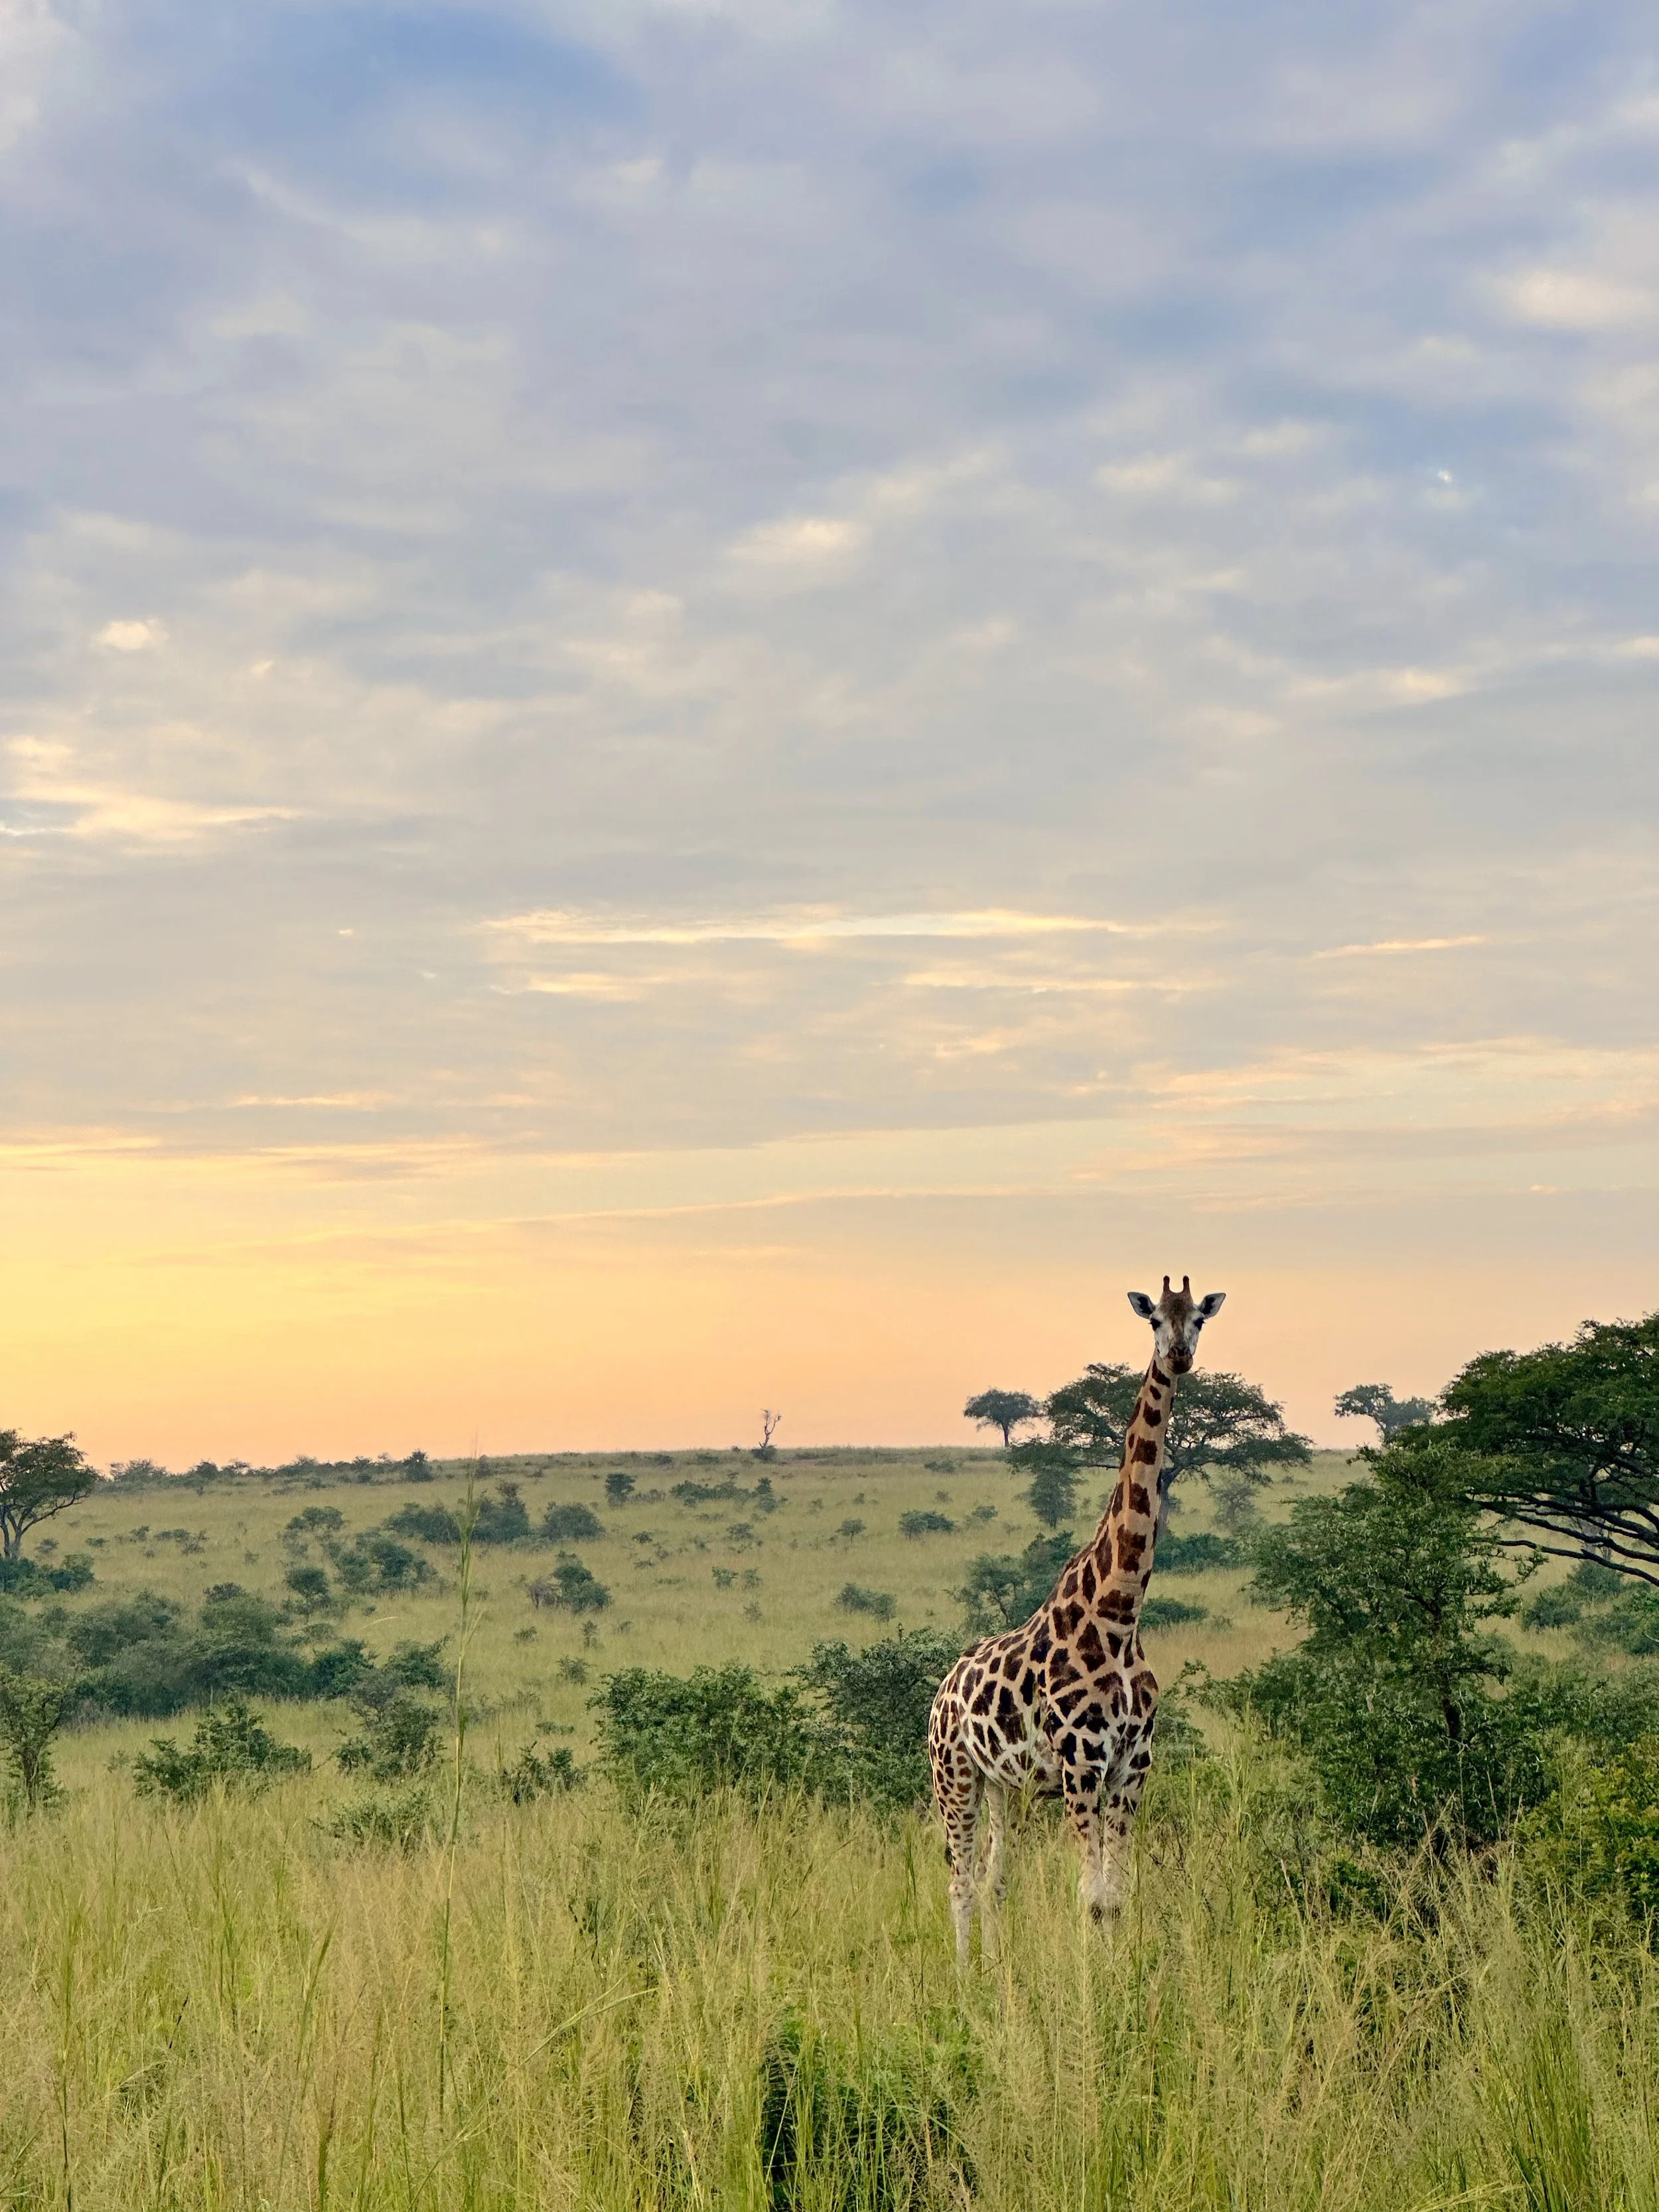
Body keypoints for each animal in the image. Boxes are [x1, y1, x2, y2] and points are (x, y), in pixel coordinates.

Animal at [928, 1275, 1225, 1962]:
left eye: (1199, 1318)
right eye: (1153, 1320)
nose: (1179, 1356)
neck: (1118, 1613)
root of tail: (940, 1692)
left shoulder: (1132, 1765)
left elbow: (1114, 1897)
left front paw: (1121, 1980)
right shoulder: (1080, 1763)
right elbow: (1090, 1896)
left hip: (1005, 1786)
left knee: (994, 1877)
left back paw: (995, 1969)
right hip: (953, 1774)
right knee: (959, 1878)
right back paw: (963, 1975)